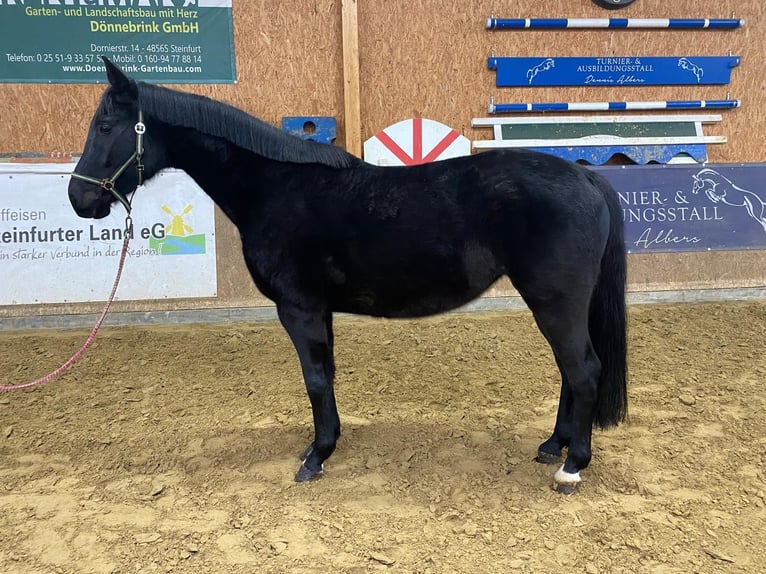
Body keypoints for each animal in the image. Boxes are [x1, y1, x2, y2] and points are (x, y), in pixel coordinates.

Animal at [68, 58, 628, 494]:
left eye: (104, 126)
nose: (79, 199)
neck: (274, 186)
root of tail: (586, 176)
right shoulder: (319, 311)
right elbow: (327, 376)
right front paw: (326, 444)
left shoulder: (299, 308)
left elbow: (315, 379)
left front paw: (315, 457)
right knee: (570, 372)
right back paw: (553, 445)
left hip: (555, 300)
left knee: (583, 370)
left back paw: (571, 466)